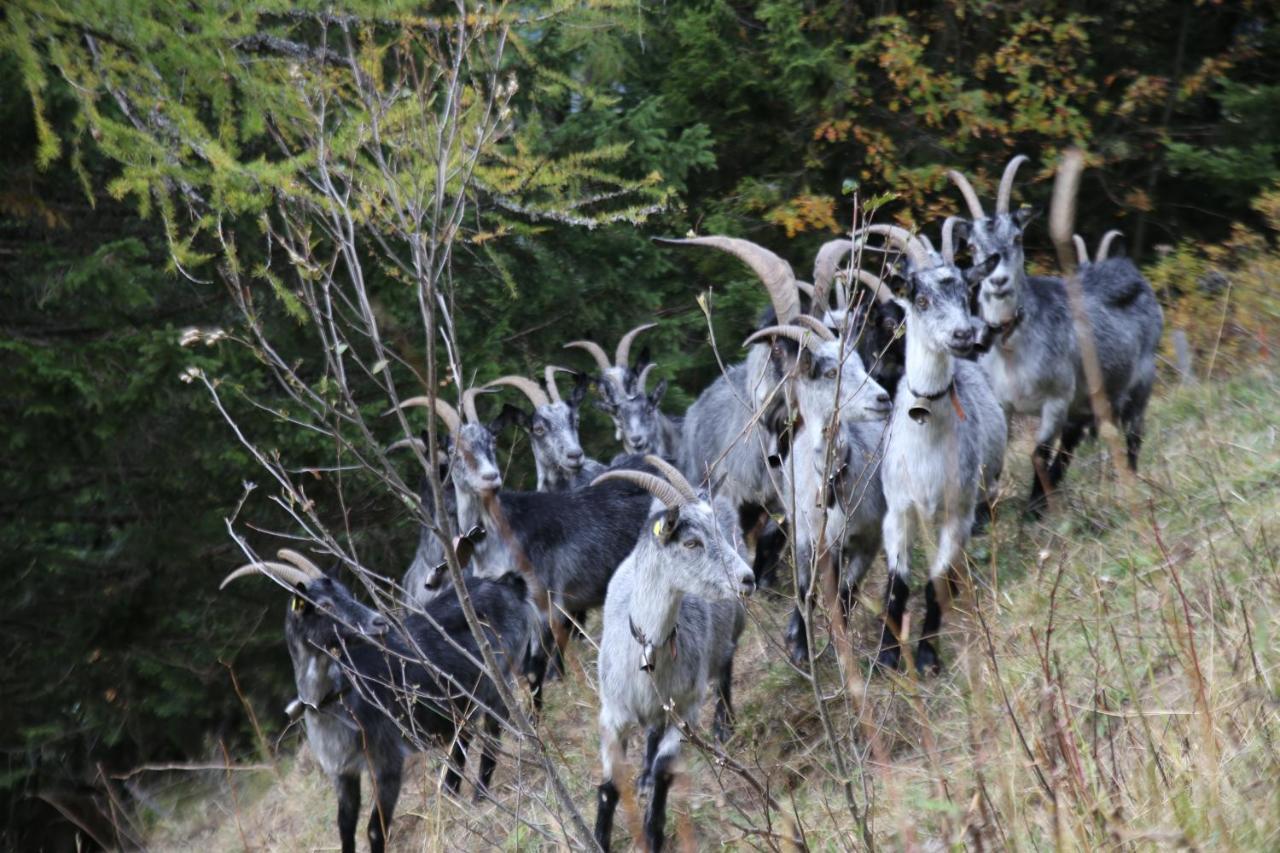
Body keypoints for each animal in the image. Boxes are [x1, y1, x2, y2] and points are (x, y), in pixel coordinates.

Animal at [220, 548, 524, 845]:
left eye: (347, 593)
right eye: (325, 606)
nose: (379, 622)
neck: (334, 698)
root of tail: (505, 584)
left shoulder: (386, 760)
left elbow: (375, 828)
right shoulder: (342, 771)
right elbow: (345, 826)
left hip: (499, 683)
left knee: (492, 736)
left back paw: (479, 798)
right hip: (463, 703)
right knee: (465, 737)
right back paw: (450, 795)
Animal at [586, 455, 752, 845]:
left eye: (717, 532)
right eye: (691, 543)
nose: (747, 578)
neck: (647, 645)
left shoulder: (688, 708)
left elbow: (665, 768)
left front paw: (654, 833)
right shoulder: (612, 713)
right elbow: (610, 785)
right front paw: (599, 838)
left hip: (732, 628)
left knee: (725, 666)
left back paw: (723, 725)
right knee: (652, 729)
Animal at [860, 222, 1008, 676]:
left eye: (966, 293)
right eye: (920, 300)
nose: (965, 335)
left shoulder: (957, 510)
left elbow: (934, 584)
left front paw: (927, 656)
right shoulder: (898, 511)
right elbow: (897, 585)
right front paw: (887, 655)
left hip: (984, 488)